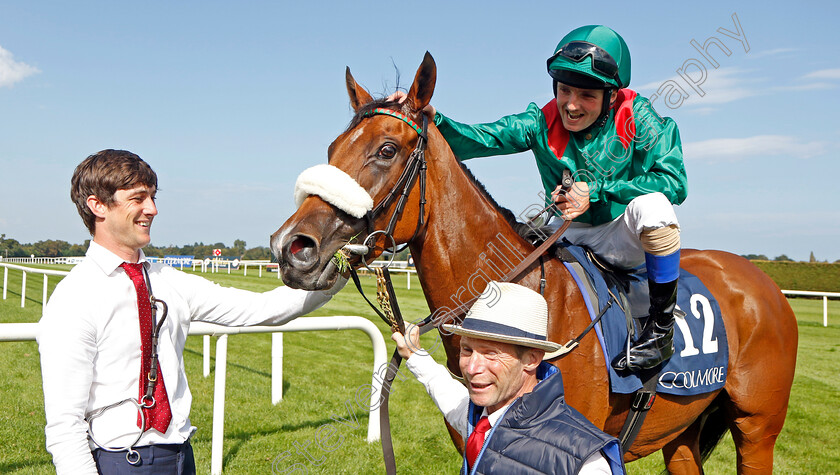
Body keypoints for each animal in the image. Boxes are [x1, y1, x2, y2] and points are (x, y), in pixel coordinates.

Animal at [272, 54, 796, 474]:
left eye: (386, 149)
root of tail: (764, 284)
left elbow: (668, 174)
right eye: (332, 150)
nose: (290, 246)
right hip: (683, 432)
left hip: (758, 429)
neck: (522, 301)